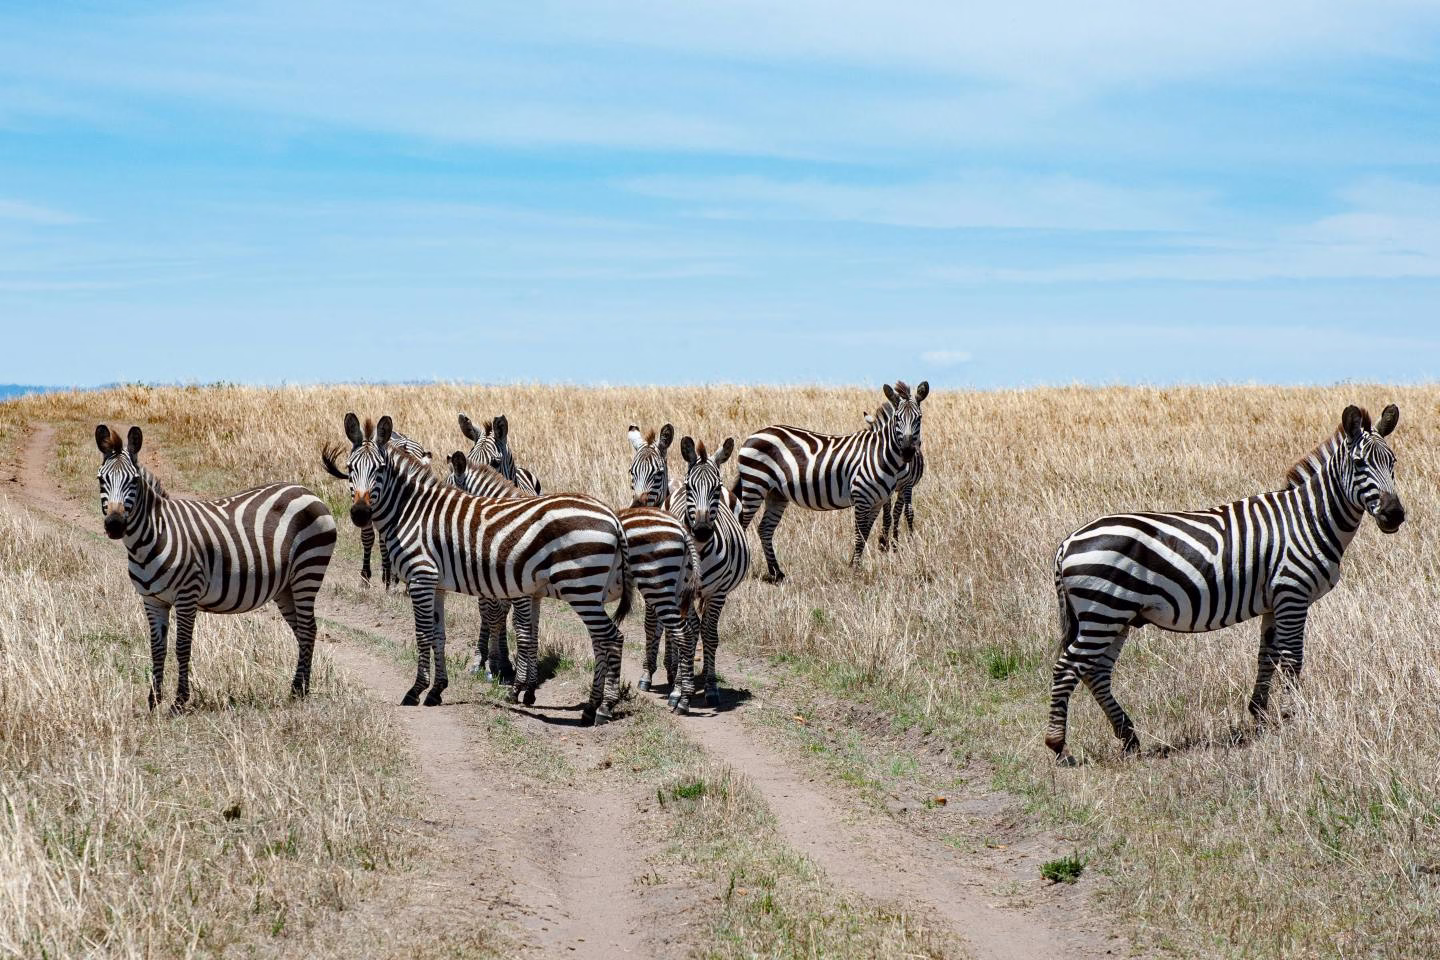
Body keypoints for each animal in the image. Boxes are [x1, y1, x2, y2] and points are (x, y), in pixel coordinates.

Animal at [95, 424, 336, 710]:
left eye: (133, 481)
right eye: (101, 480)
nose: (114, 525)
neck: (154, 535)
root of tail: (307, 491)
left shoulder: (187, 594)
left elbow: (182, 647)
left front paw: (179, 702)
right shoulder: (152, 600)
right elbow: (157, 648)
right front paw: (154, 701)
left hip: (307, 571)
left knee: (309, 629)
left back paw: (301, 690)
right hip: (285, 587)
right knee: (303, 630)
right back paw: (299, 689)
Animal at [672, 436, 750, 712]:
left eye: (716, 488)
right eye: (689, 488)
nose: (703, 530)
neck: (700, 551)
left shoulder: (718, 593)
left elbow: (710, 635)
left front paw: (712, 687)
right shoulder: (681, 593)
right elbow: (686, 637)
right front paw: (679, 691)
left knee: (702, 631)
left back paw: (704, 673)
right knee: (685, 633)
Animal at [862, 405, 925, 550]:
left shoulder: (906, 485)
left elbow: (904, 512)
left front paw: (899, 542)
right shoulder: (884, 489)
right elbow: (886, 515)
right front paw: (883, 542)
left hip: (902, 489)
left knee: (898, 511)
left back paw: (895, 541)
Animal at [1047, 404, 1405, 764]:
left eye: (1393, 462)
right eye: (1359, 464)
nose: (1395, 515)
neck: (1310, 519)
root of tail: (1068, 542)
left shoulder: (1274, 601)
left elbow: (1267, 656)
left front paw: (1260, 714)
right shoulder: (1293, 592)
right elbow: (1292, 659)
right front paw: (1293, 715)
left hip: (1116, 616)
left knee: (1095, 672)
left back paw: (1129, 738)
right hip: (1103, 612)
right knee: (1067, 667)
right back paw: (1059, 746)